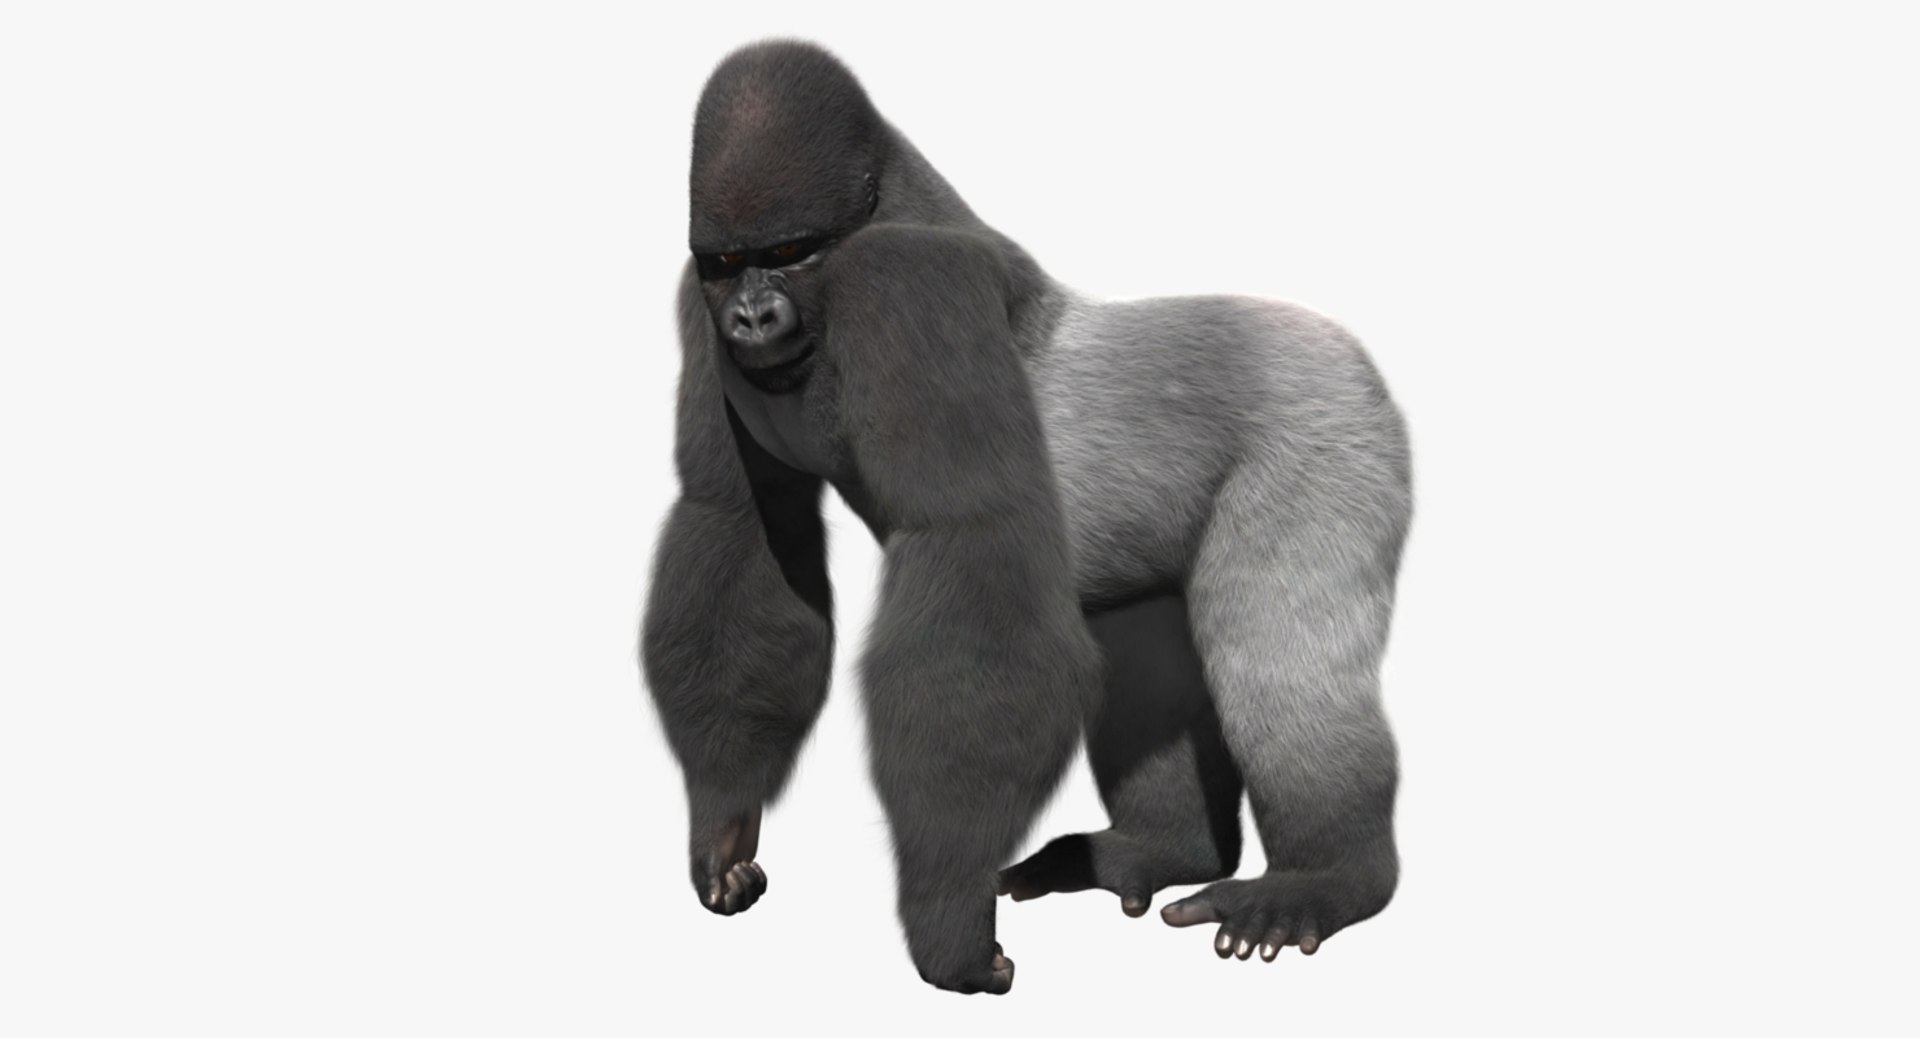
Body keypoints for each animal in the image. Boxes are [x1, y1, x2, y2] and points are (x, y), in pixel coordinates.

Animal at [642, 40, 1411, 993]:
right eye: (726, 265)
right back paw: (1155, 851)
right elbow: (739, 530)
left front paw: (944, 920)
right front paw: (722, 819)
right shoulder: (697, 304)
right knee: (1146, 659)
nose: (751, 316)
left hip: (1331, 419)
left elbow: (970, 550)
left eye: (789, 252)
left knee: (1273, 665)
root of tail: (1348, 353)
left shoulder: (907, 285)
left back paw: (1324, 881)